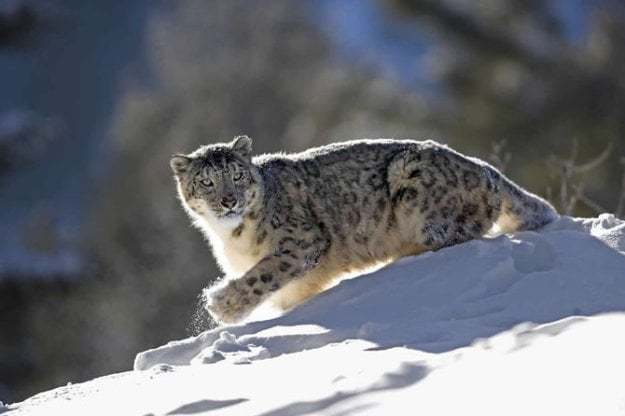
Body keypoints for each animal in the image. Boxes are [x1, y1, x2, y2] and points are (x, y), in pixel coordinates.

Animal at [171, 136, 556, 324]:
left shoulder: (302, 243)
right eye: (206, 182)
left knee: (455, 235)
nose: (228, 200)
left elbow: (264, 274)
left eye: (237, 175)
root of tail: (485, 168)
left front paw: (221, 305)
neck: (230, 238)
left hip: (414, 187)